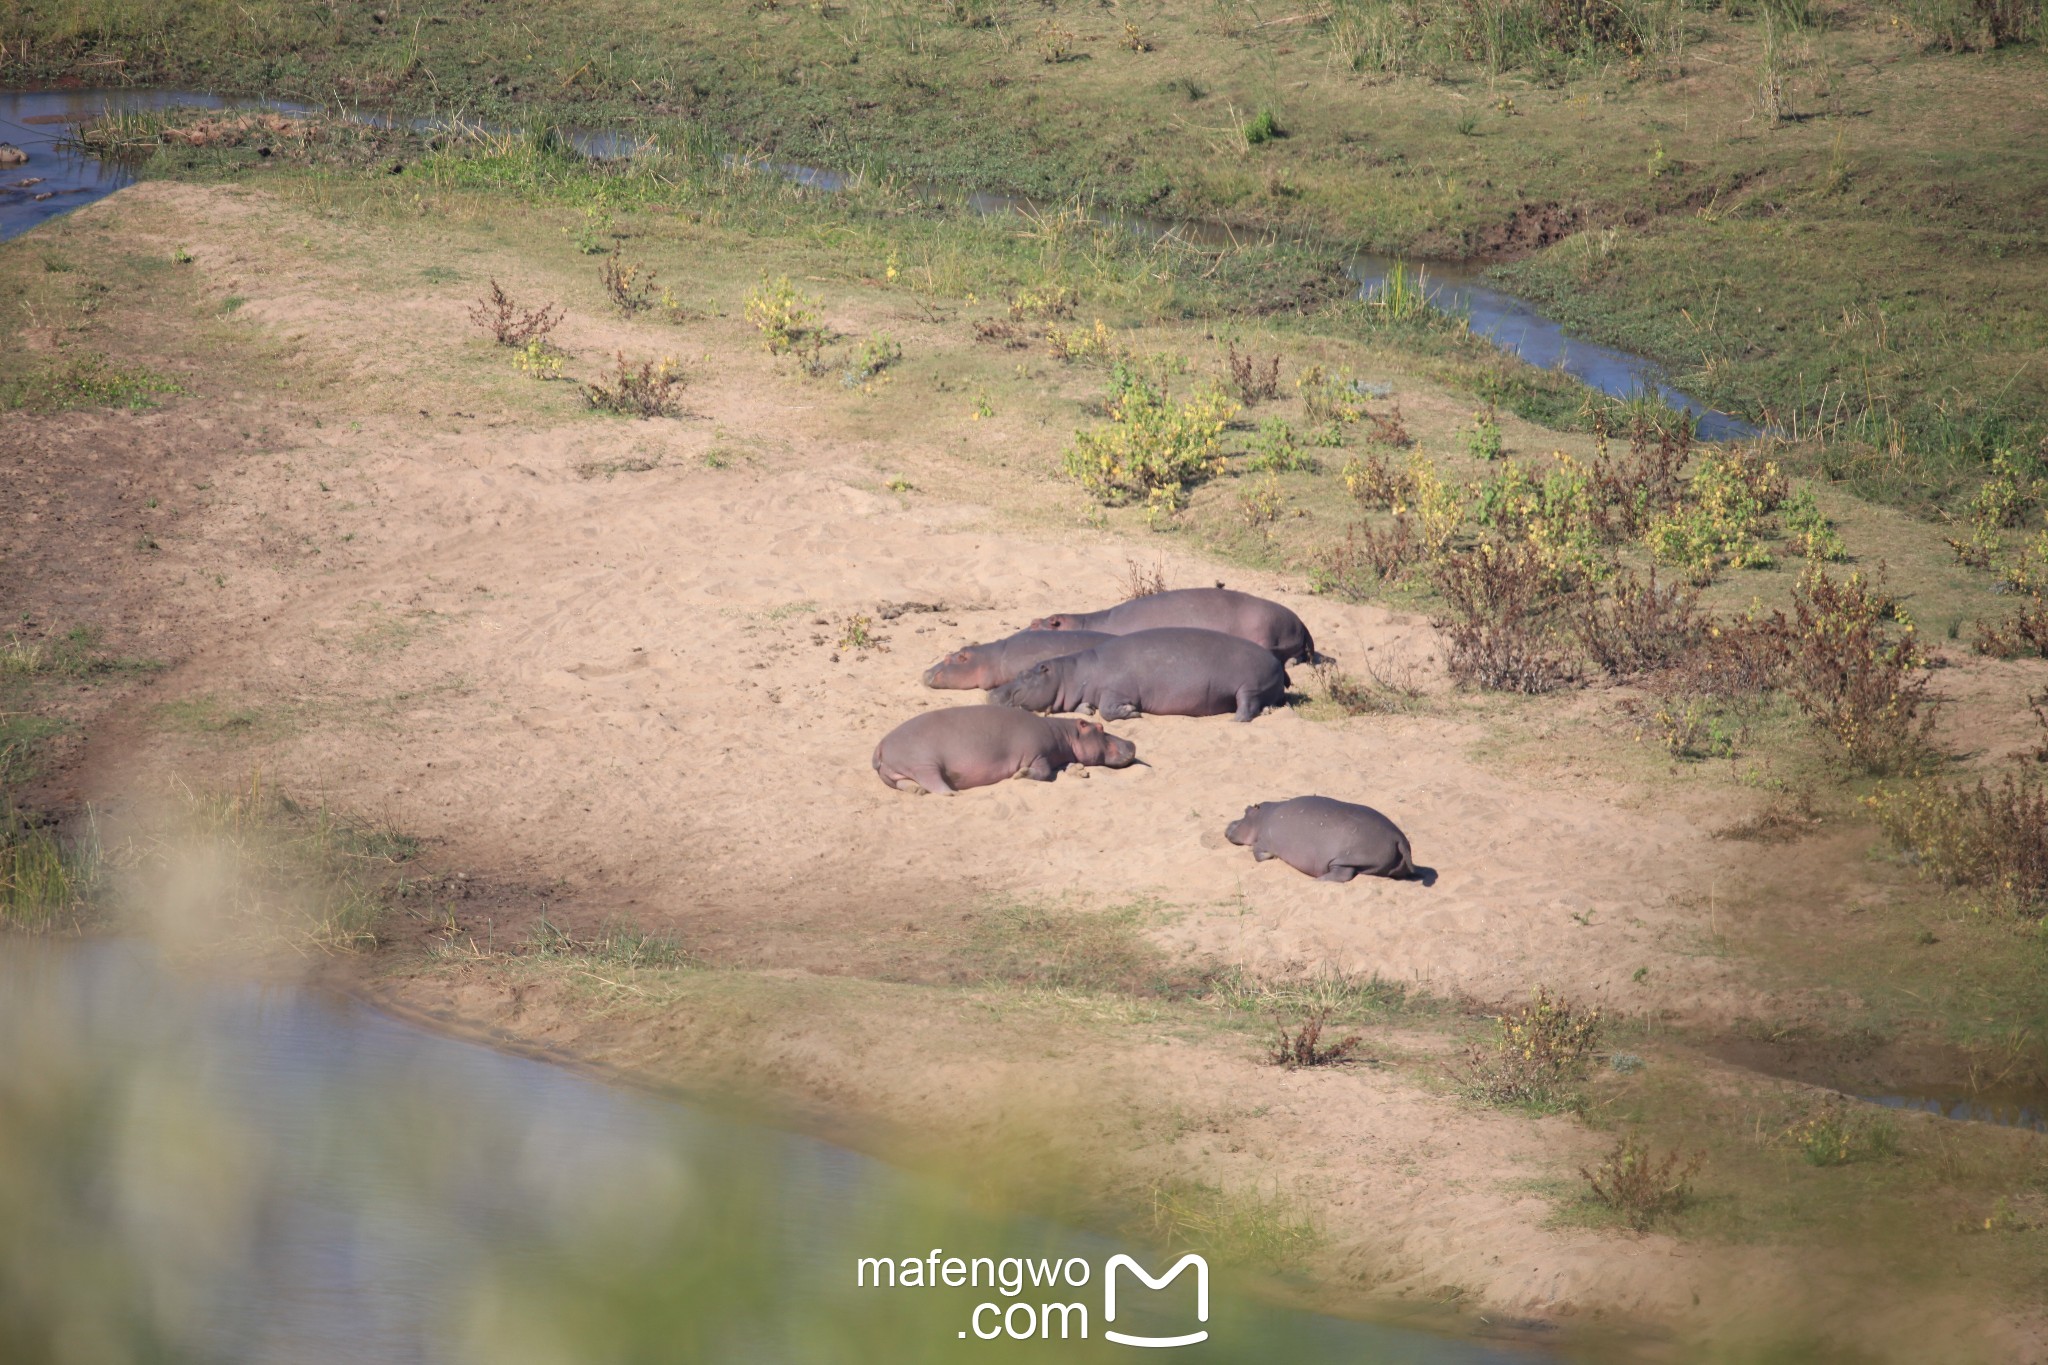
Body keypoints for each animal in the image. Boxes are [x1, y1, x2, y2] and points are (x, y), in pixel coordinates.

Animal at [864, 703, 1138, 789]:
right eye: (1100, 728)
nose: (1132, 742)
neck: (1064, 734)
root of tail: (879, 746)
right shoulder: (1037, 753)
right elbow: (1043, 772)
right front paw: (1020, 775)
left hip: (897, 772)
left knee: (905, 783)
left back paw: (916, 791)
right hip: (925, 763)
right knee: (933, 782)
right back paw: (951, 792)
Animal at [983, 630, 1286, 724]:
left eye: (1024, 674)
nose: (991, 693)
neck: (1072, 674)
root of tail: (1277, 663)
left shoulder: (1115, 690)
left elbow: (1108, 710)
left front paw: (1131, 712)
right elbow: (1088, 707)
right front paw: (1086, 709)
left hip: (1248, 687)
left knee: (1246, 706)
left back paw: (1234, 720)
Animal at [1220, 794, 1417, 879]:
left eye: (1246, 810)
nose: (1229, 824)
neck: (1262, 817)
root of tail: (1398, 837)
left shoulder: (1263, 842)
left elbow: (1258, 853)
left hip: (1346, 858)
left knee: (1343, 873)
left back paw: (1321, 879)